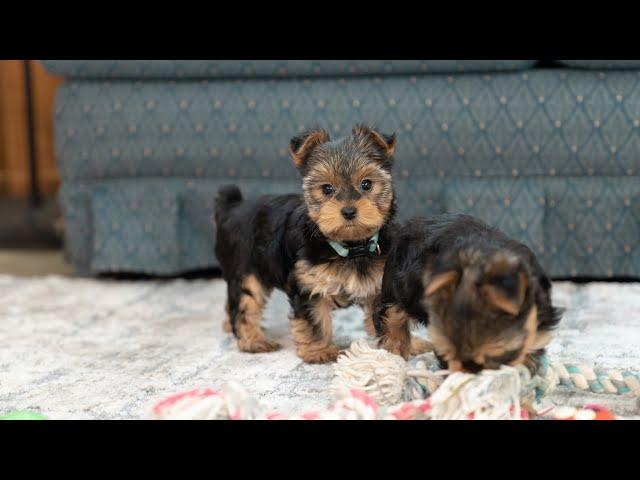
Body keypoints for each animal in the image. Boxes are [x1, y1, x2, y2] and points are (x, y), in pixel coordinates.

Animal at [216, 125, 420, 362]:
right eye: (327, 189)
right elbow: (315, 321)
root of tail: (232, 208)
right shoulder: (309, 285)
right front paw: (320, 351)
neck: (351, 248)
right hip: (245, 270)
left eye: (366, 184)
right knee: (245, 304)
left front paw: (401, 348)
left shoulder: (380, 284)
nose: (348, 211)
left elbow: (388, 319)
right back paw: (253, 340)